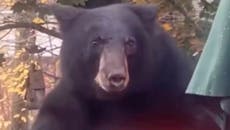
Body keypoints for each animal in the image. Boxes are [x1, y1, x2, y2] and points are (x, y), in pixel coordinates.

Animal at [31, 3, 218, 130]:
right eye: (95, 42)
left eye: (130, 42)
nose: (116, 77)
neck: (114, 101)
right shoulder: (67, 107)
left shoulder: (172, 92)